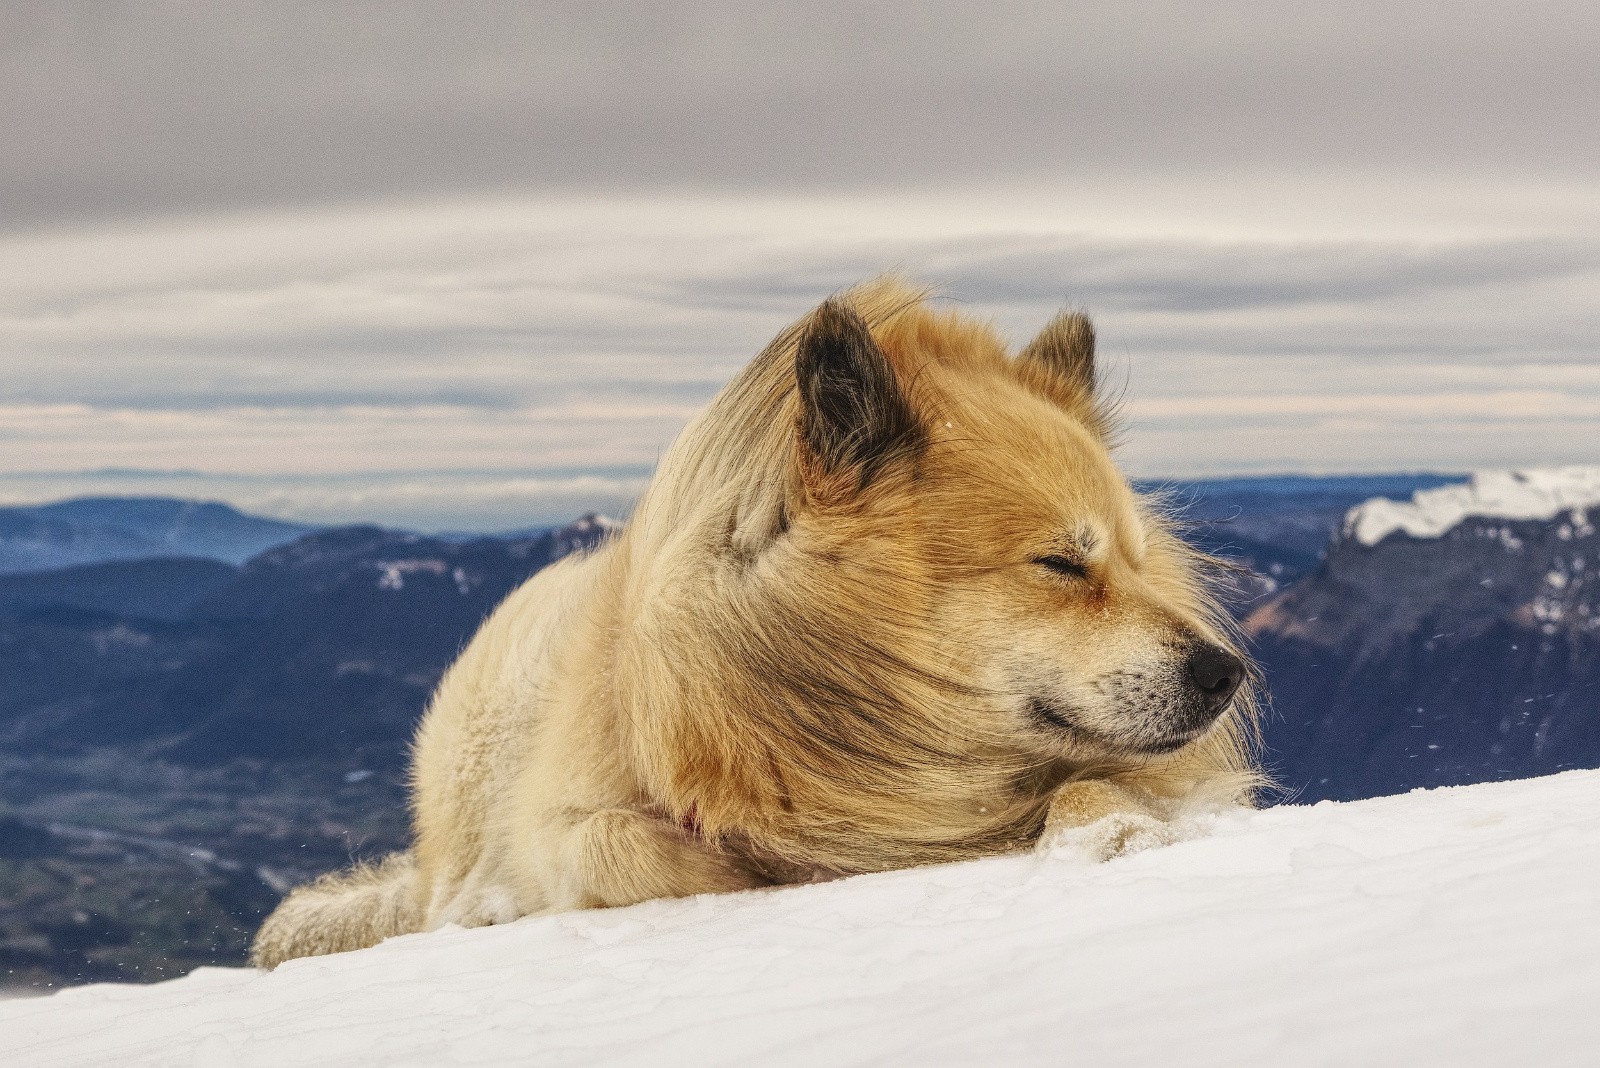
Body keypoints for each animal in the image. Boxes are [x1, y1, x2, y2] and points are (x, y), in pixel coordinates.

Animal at [249, 274, 1254, 965]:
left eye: (1134, 560)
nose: (1225, 673)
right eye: (1060, 564)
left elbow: (1101, 792)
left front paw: (1120, 834)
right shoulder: (572, 813)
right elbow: (624, 847)